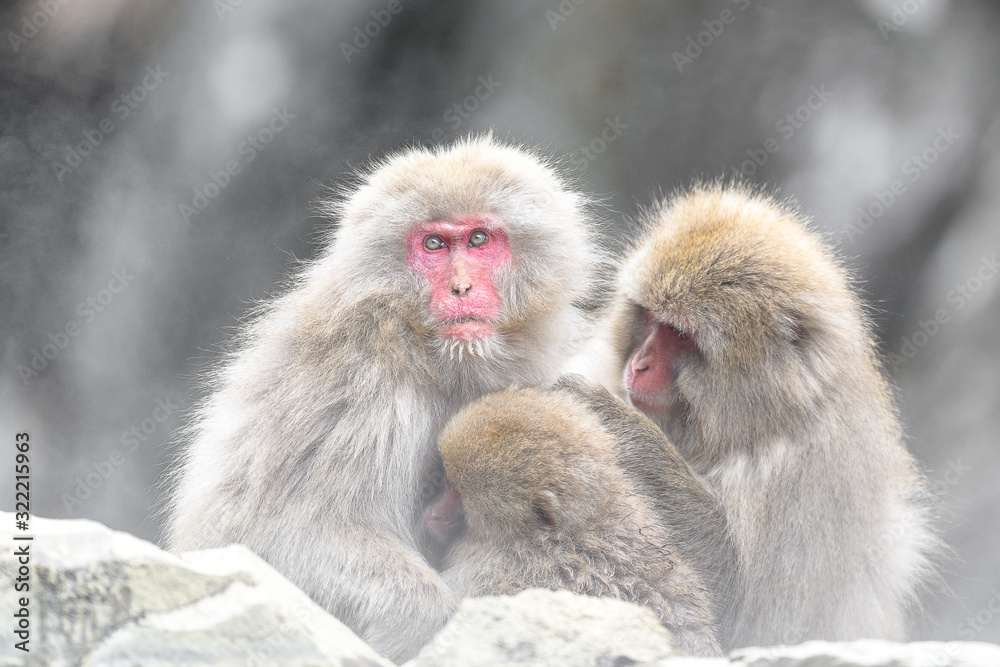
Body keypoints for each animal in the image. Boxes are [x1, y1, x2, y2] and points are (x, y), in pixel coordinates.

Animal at [167, 137, 596, 664]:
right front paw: (427, 620)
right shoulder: (361, 379)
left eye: (478, 239)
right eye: (433, 245)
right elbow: (287, 532)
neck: (433, 355)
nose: (461, 287)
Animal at [584, 183, 936, 648]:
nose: (638, 364)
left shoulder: (811, 474)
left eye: (678, 333)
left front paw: (619, 426)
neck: (758, 425)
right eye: (648, 316)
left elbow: (750, 613)